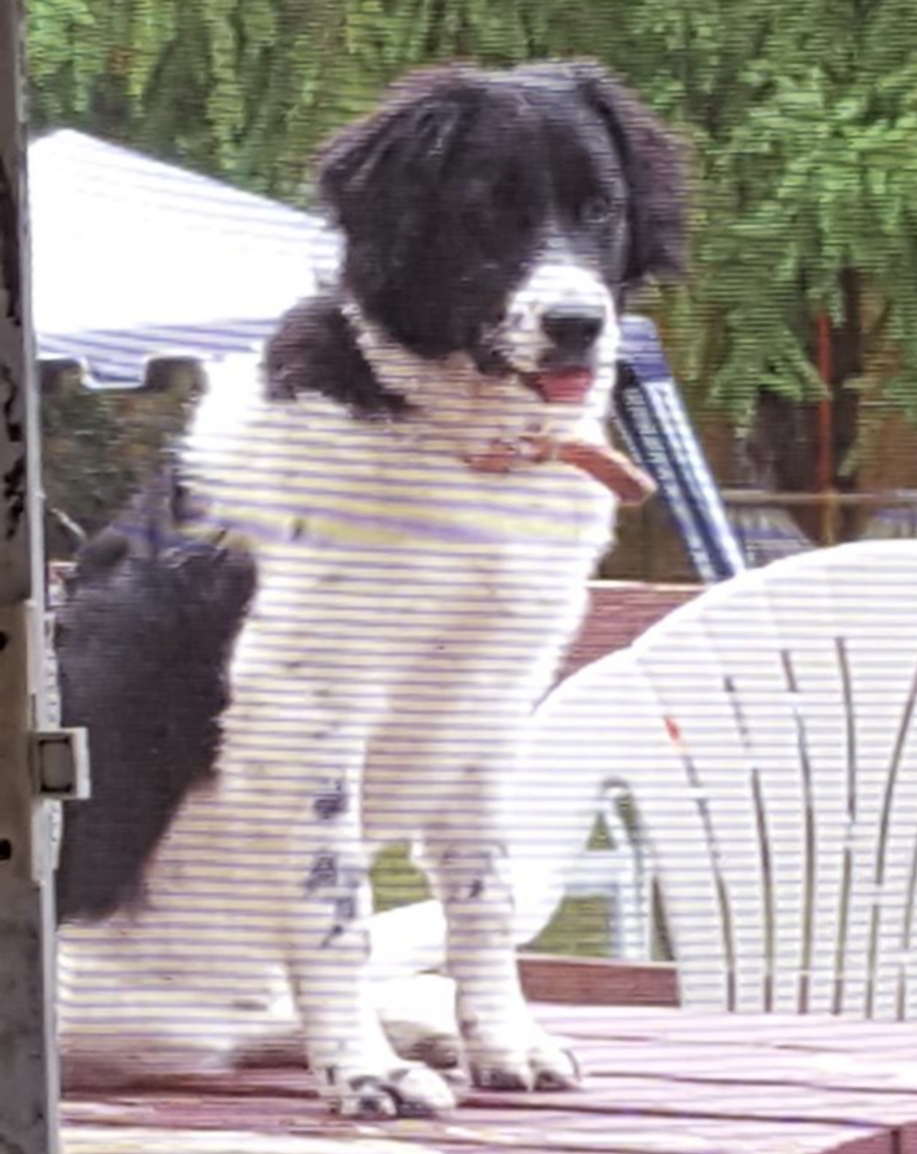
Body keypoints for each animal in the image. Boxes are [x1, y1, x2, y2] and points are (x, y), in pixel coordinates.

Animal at [55, 60, 686, 1118]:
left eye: (599, 208)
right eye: (483, 212)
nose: (577, 326)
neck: (462, 445)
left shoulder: (486, 706)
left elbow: (482, 896)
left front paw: (500, 1045)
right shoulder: (305, 710)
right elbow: (335, 907)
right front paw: (361, 1072)